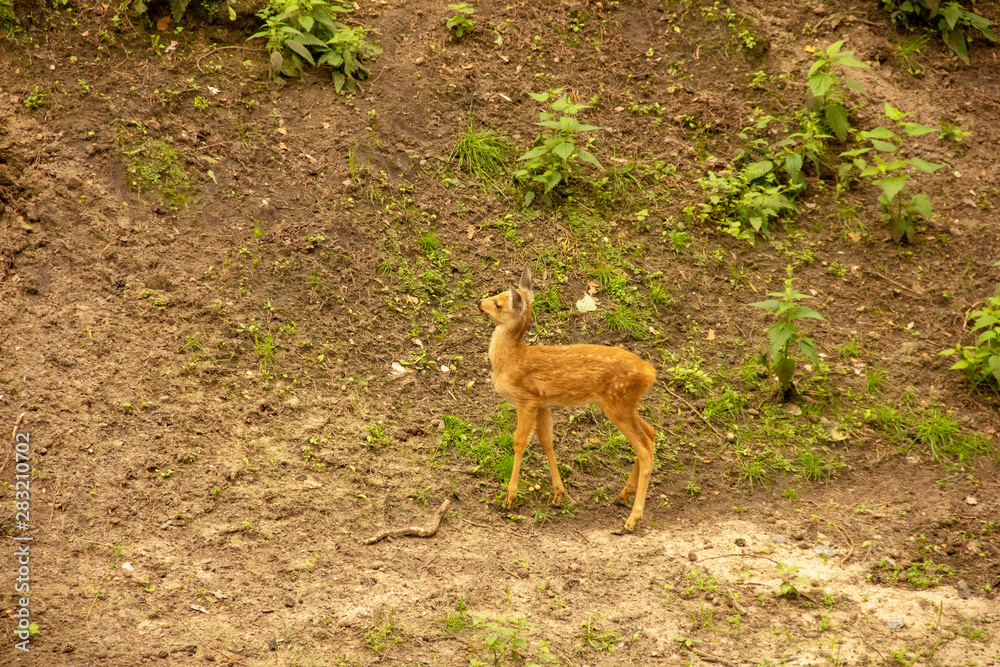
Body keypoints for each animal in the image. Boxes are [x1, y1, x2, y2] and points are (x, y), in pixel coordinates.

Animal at [482, 266, 660, 532]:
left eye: (499, 303)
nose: (479, 303)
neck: (511, 360)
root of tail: (651, 373)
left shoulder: (528, 398)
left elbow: (519, 442)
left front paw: (509, 498)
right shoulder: (543, 402)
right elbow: (547, 441)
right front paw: (558, 494)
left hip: (617, 403)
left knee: (645, 448)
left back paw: (632, 519)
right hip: (627, 404)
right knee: (650, 433)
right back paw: (622, 496)